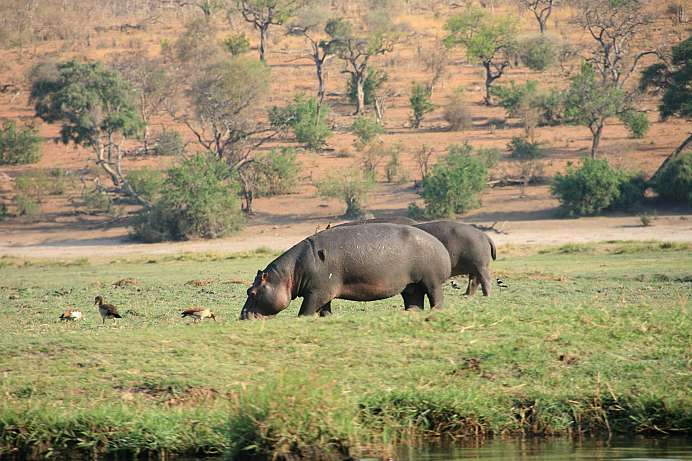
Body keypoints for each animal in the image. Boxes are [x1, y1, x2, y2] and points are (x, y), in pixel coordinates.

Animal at [240, 223, 452, 319]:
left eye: (252, 292)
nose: (242, 316)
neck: (289, 274)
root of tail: (440, 245)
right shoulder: (323, 292)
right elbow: (325, 309)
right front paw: (327, 318)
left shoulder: (315, 292)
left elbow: (305, 311)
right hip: (411, 286)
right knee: (414, 301)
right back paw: (410, 313)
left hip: (431, 281)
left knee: (436, 297)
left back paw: (436, 311)